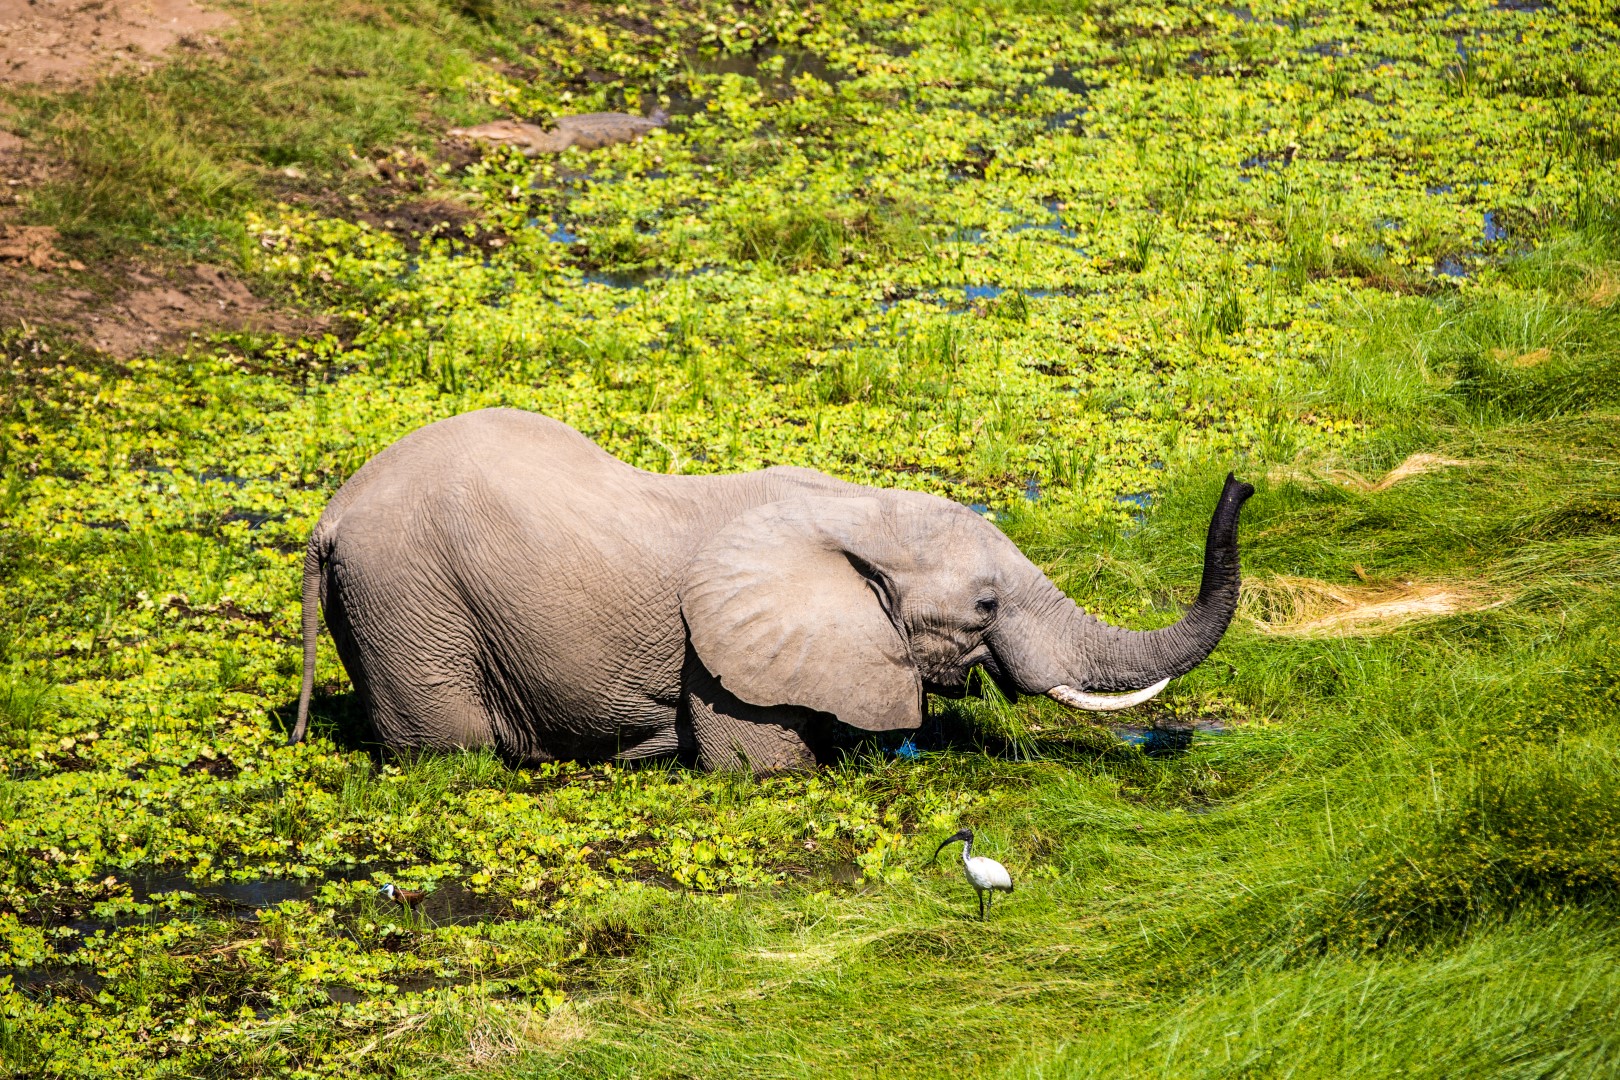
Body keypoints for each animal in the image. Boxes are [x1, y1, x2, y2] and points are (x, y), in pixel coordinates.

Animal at [291, 409, 1254, 773]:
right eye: (984, 607)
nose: (1241, 482)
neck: (853, 509)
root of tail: (331, 513)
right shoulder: (718, 665)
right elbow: (767, 768)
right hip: (412, 605)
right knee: (449, 750)